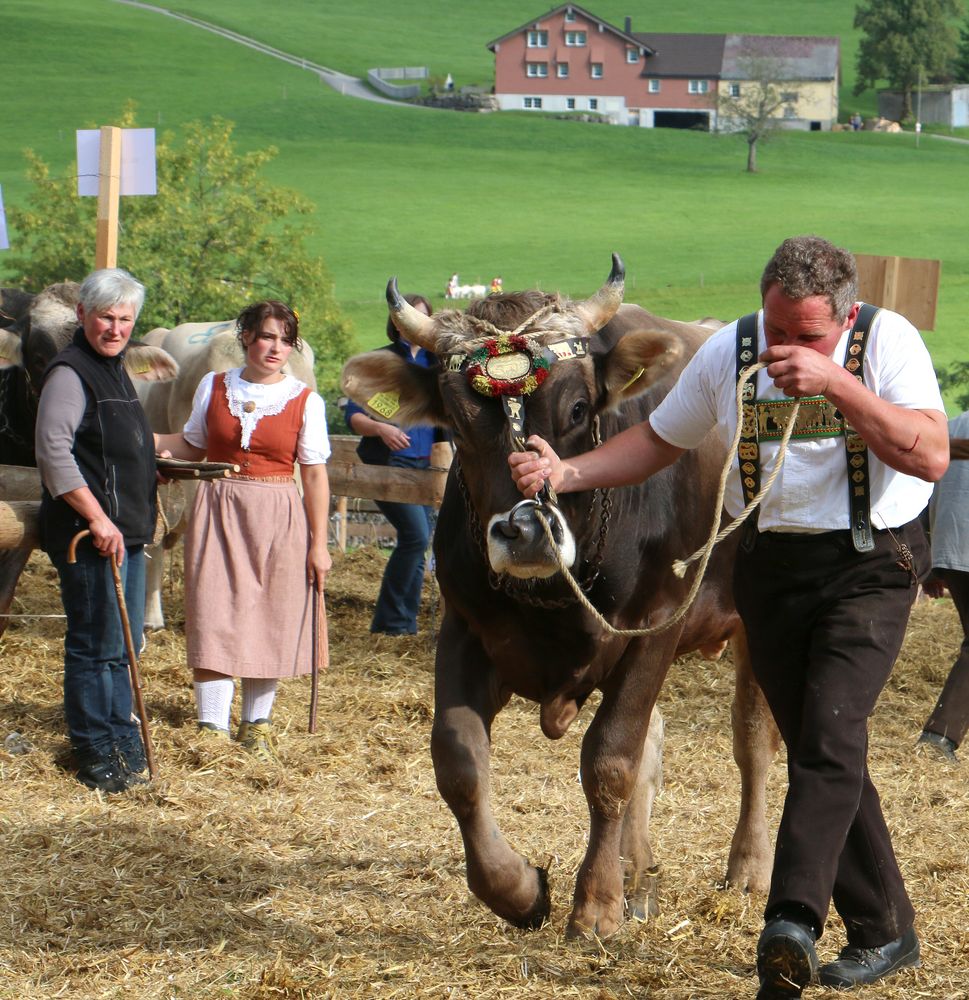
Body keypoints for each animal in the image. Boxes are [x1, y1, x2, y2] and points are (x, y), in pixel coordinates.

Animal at [340, 256, 780, 936]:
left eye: (577, 408)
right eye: (457, 424)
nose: (525, 531)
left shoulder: (655, 628)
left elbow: (611, 759)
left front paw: (596, 903)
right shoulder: (467, 629)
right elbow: (459, 761)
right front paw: (519, 889)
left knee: (752, 739)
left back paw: (748, 867)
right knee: (656, 742)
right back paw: (637, 870)